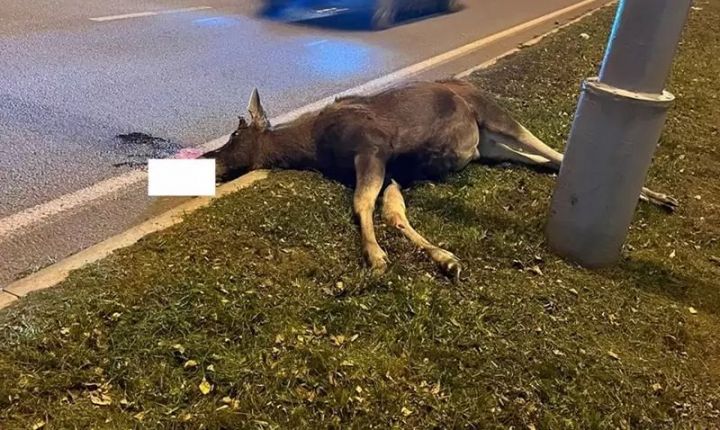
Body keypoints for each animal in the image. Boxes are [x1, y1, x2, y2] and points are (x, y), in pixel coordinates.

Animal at [201, 80, 676, 278]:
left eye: (235, 133)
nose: (207, 157)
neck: (314, 147)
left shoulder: (372, 148)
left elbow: (362, 204)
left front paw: (376, 258)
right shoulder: (395, 170)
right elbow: (392, 212)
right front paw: (444, 258)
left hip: (497, 116)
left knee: (554, 150)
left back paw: (659, 196)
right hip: (490, 148)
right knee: (546, 161)